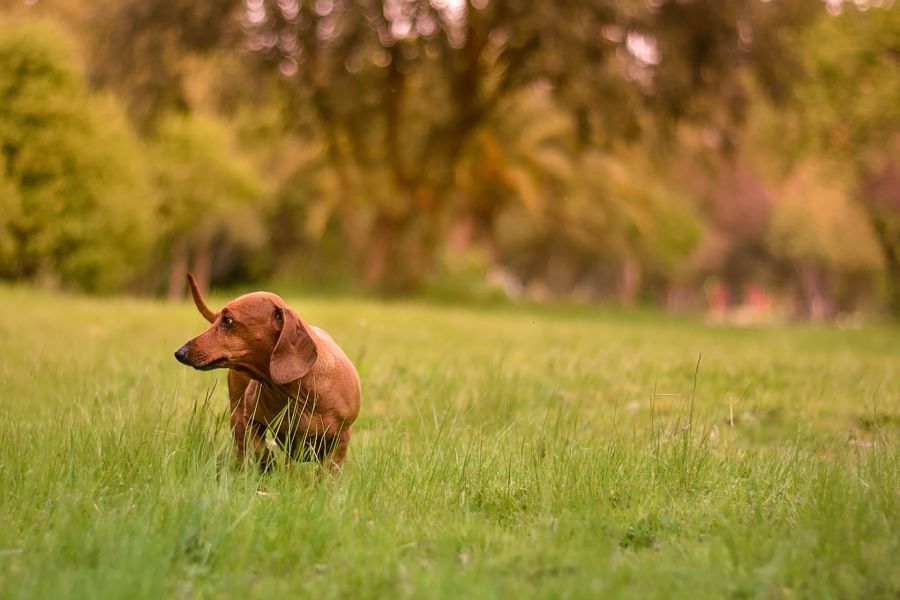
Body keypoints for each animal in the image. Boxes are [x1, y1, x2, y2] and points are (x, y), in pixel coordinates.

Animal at [174, 274, 360, 472]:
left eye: (227, 320)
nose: (180, 352)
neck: (299, 394)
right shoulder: (250, 421)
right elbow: (260, 450)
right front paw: (269, 468)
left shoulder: (342, 436)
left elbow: (327, 471)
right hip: (236, 414)